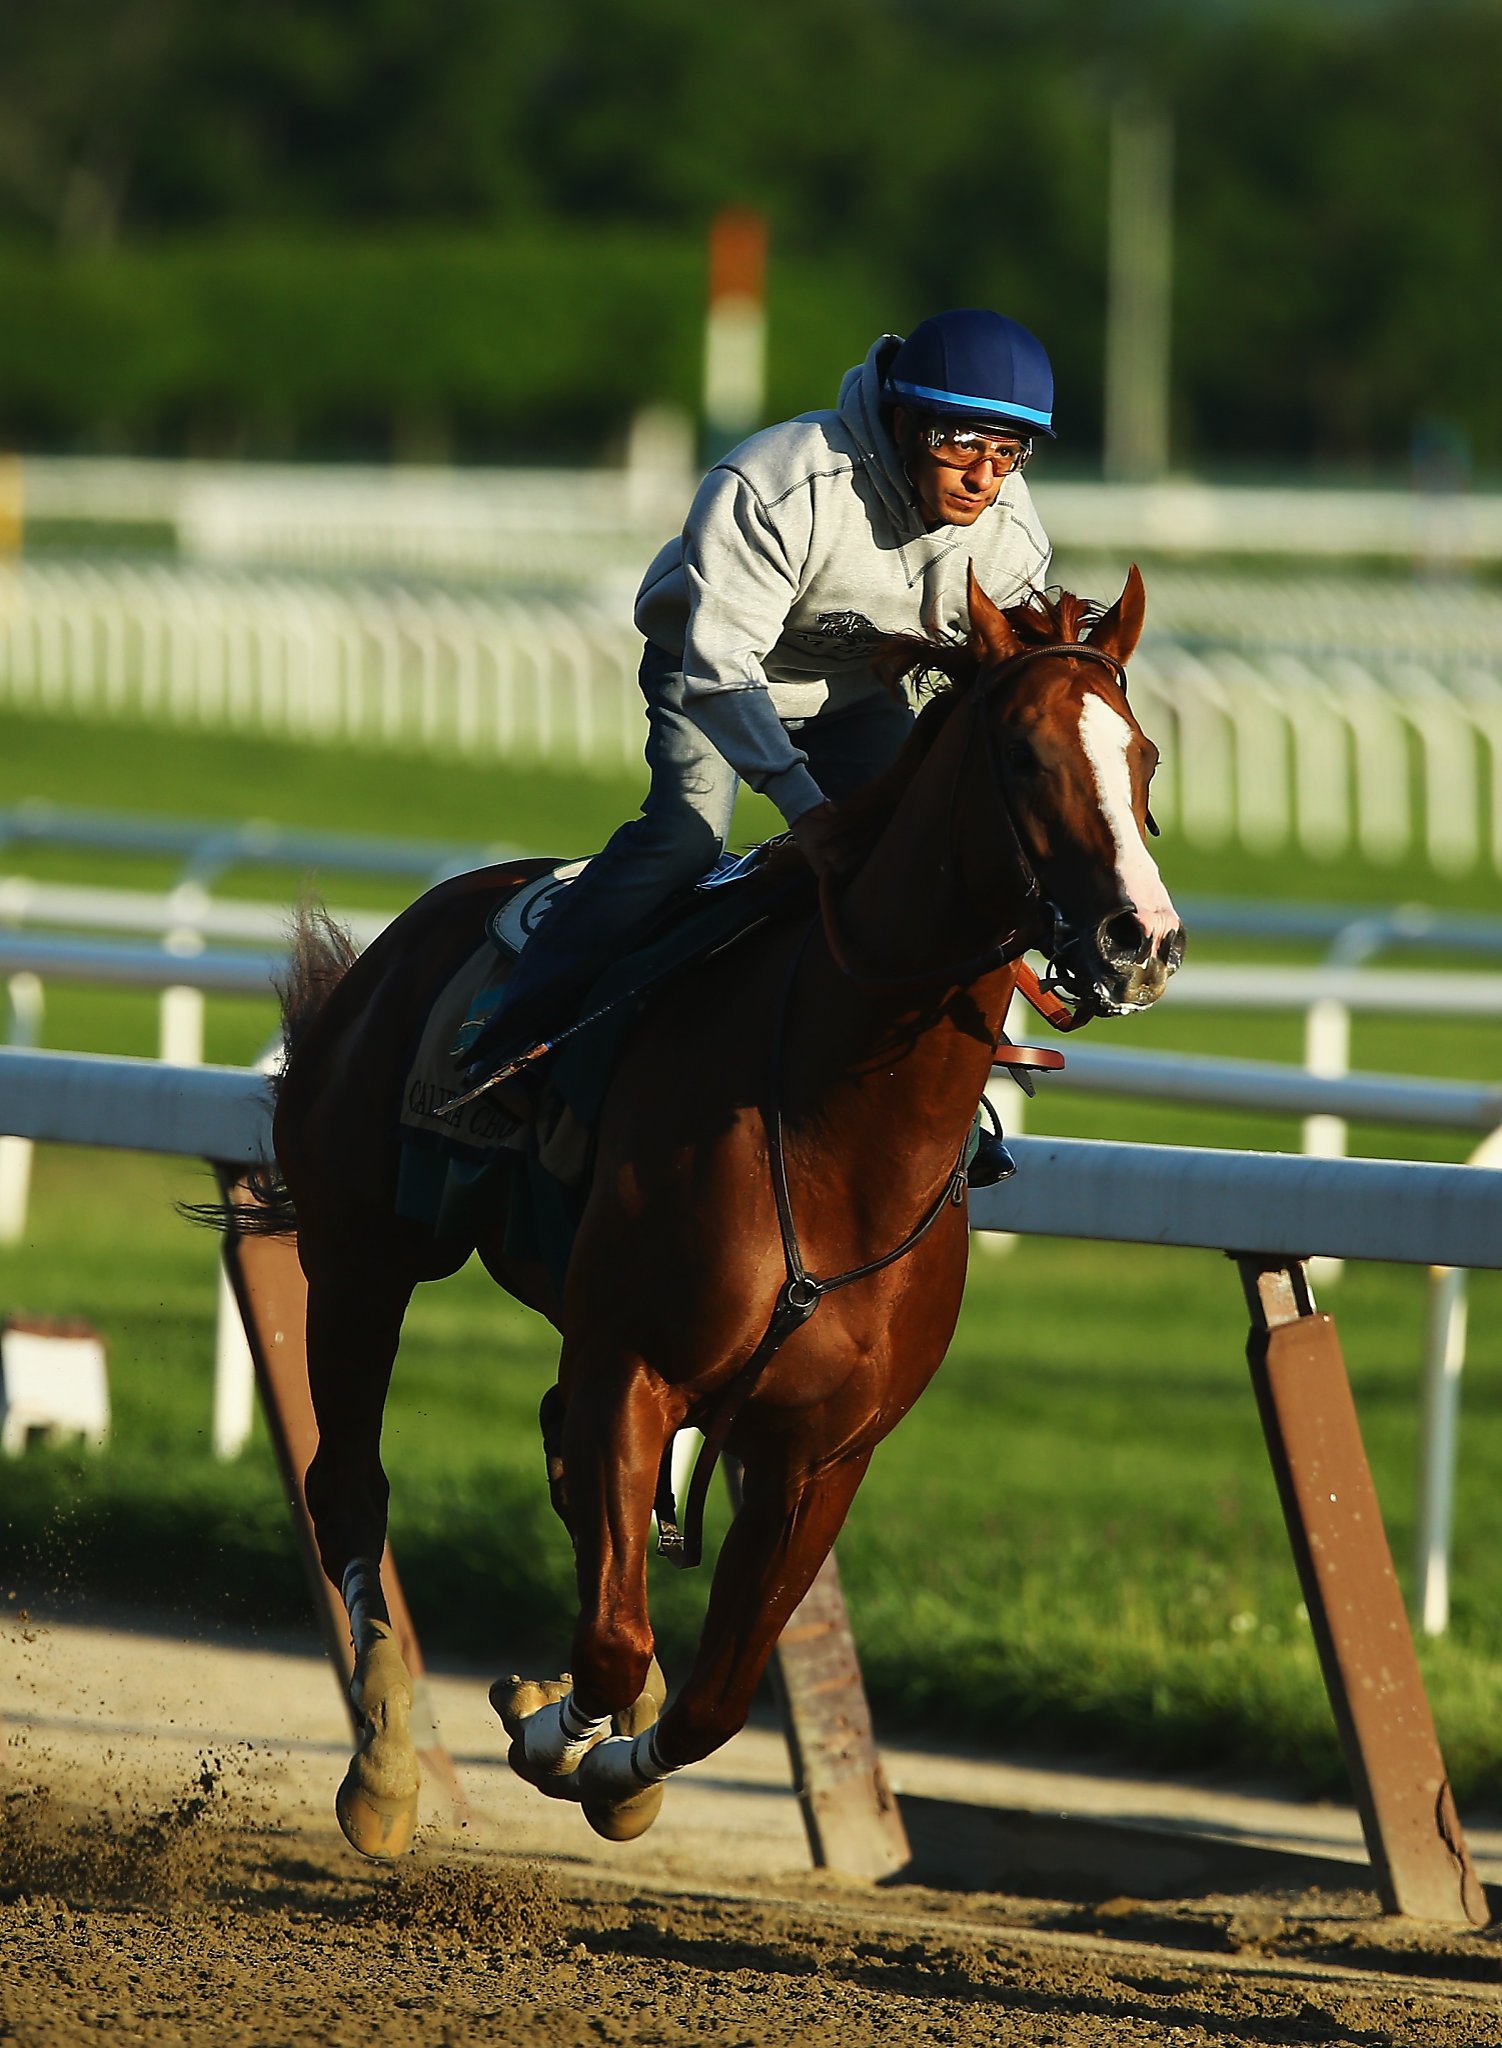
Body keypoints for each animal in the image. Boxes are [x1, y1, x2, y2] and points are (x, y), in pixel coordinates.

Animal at [252, 565, 1180, 1859]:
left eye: (1141, 756)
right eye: (1025, 755)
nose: (1140, 939)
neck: (839, 1128)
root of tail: (411, 932)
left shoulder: (820, 1448)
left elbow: (717, 1691)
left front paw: (612, 1760)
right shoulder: (634, 1365)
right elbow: (612, 1633)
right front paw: (558, 1734)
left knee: (563, 1476)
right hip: (361, 1256)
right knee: (349, 1485)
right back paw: (386, 1766)